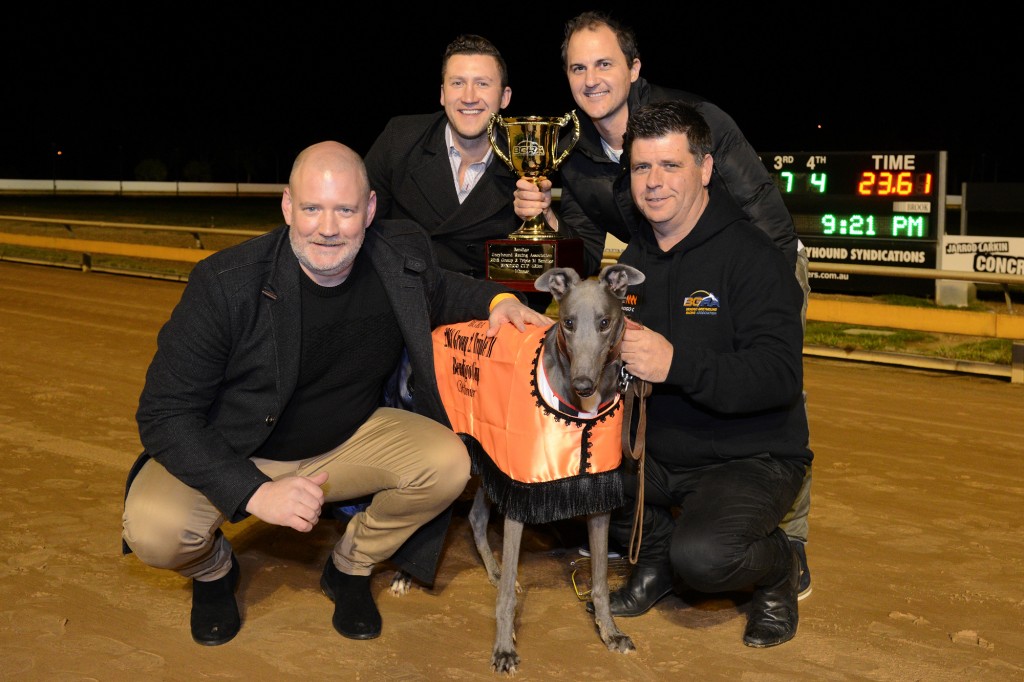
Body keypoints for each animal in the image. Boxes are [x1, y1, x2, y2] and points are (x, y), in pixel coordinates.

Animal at [421, 262, 638, 671]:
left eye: (605, 322)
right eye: (567, 322)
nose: (583, 385)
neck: (581, 413)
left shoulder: (595, 493)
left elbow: (601, 580)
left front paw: (610, 632)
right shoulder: (522, 492)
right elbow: (508, 593)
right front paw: (504, 648)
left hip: (489, 457)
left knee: (476, 517)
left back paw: (491, 569)